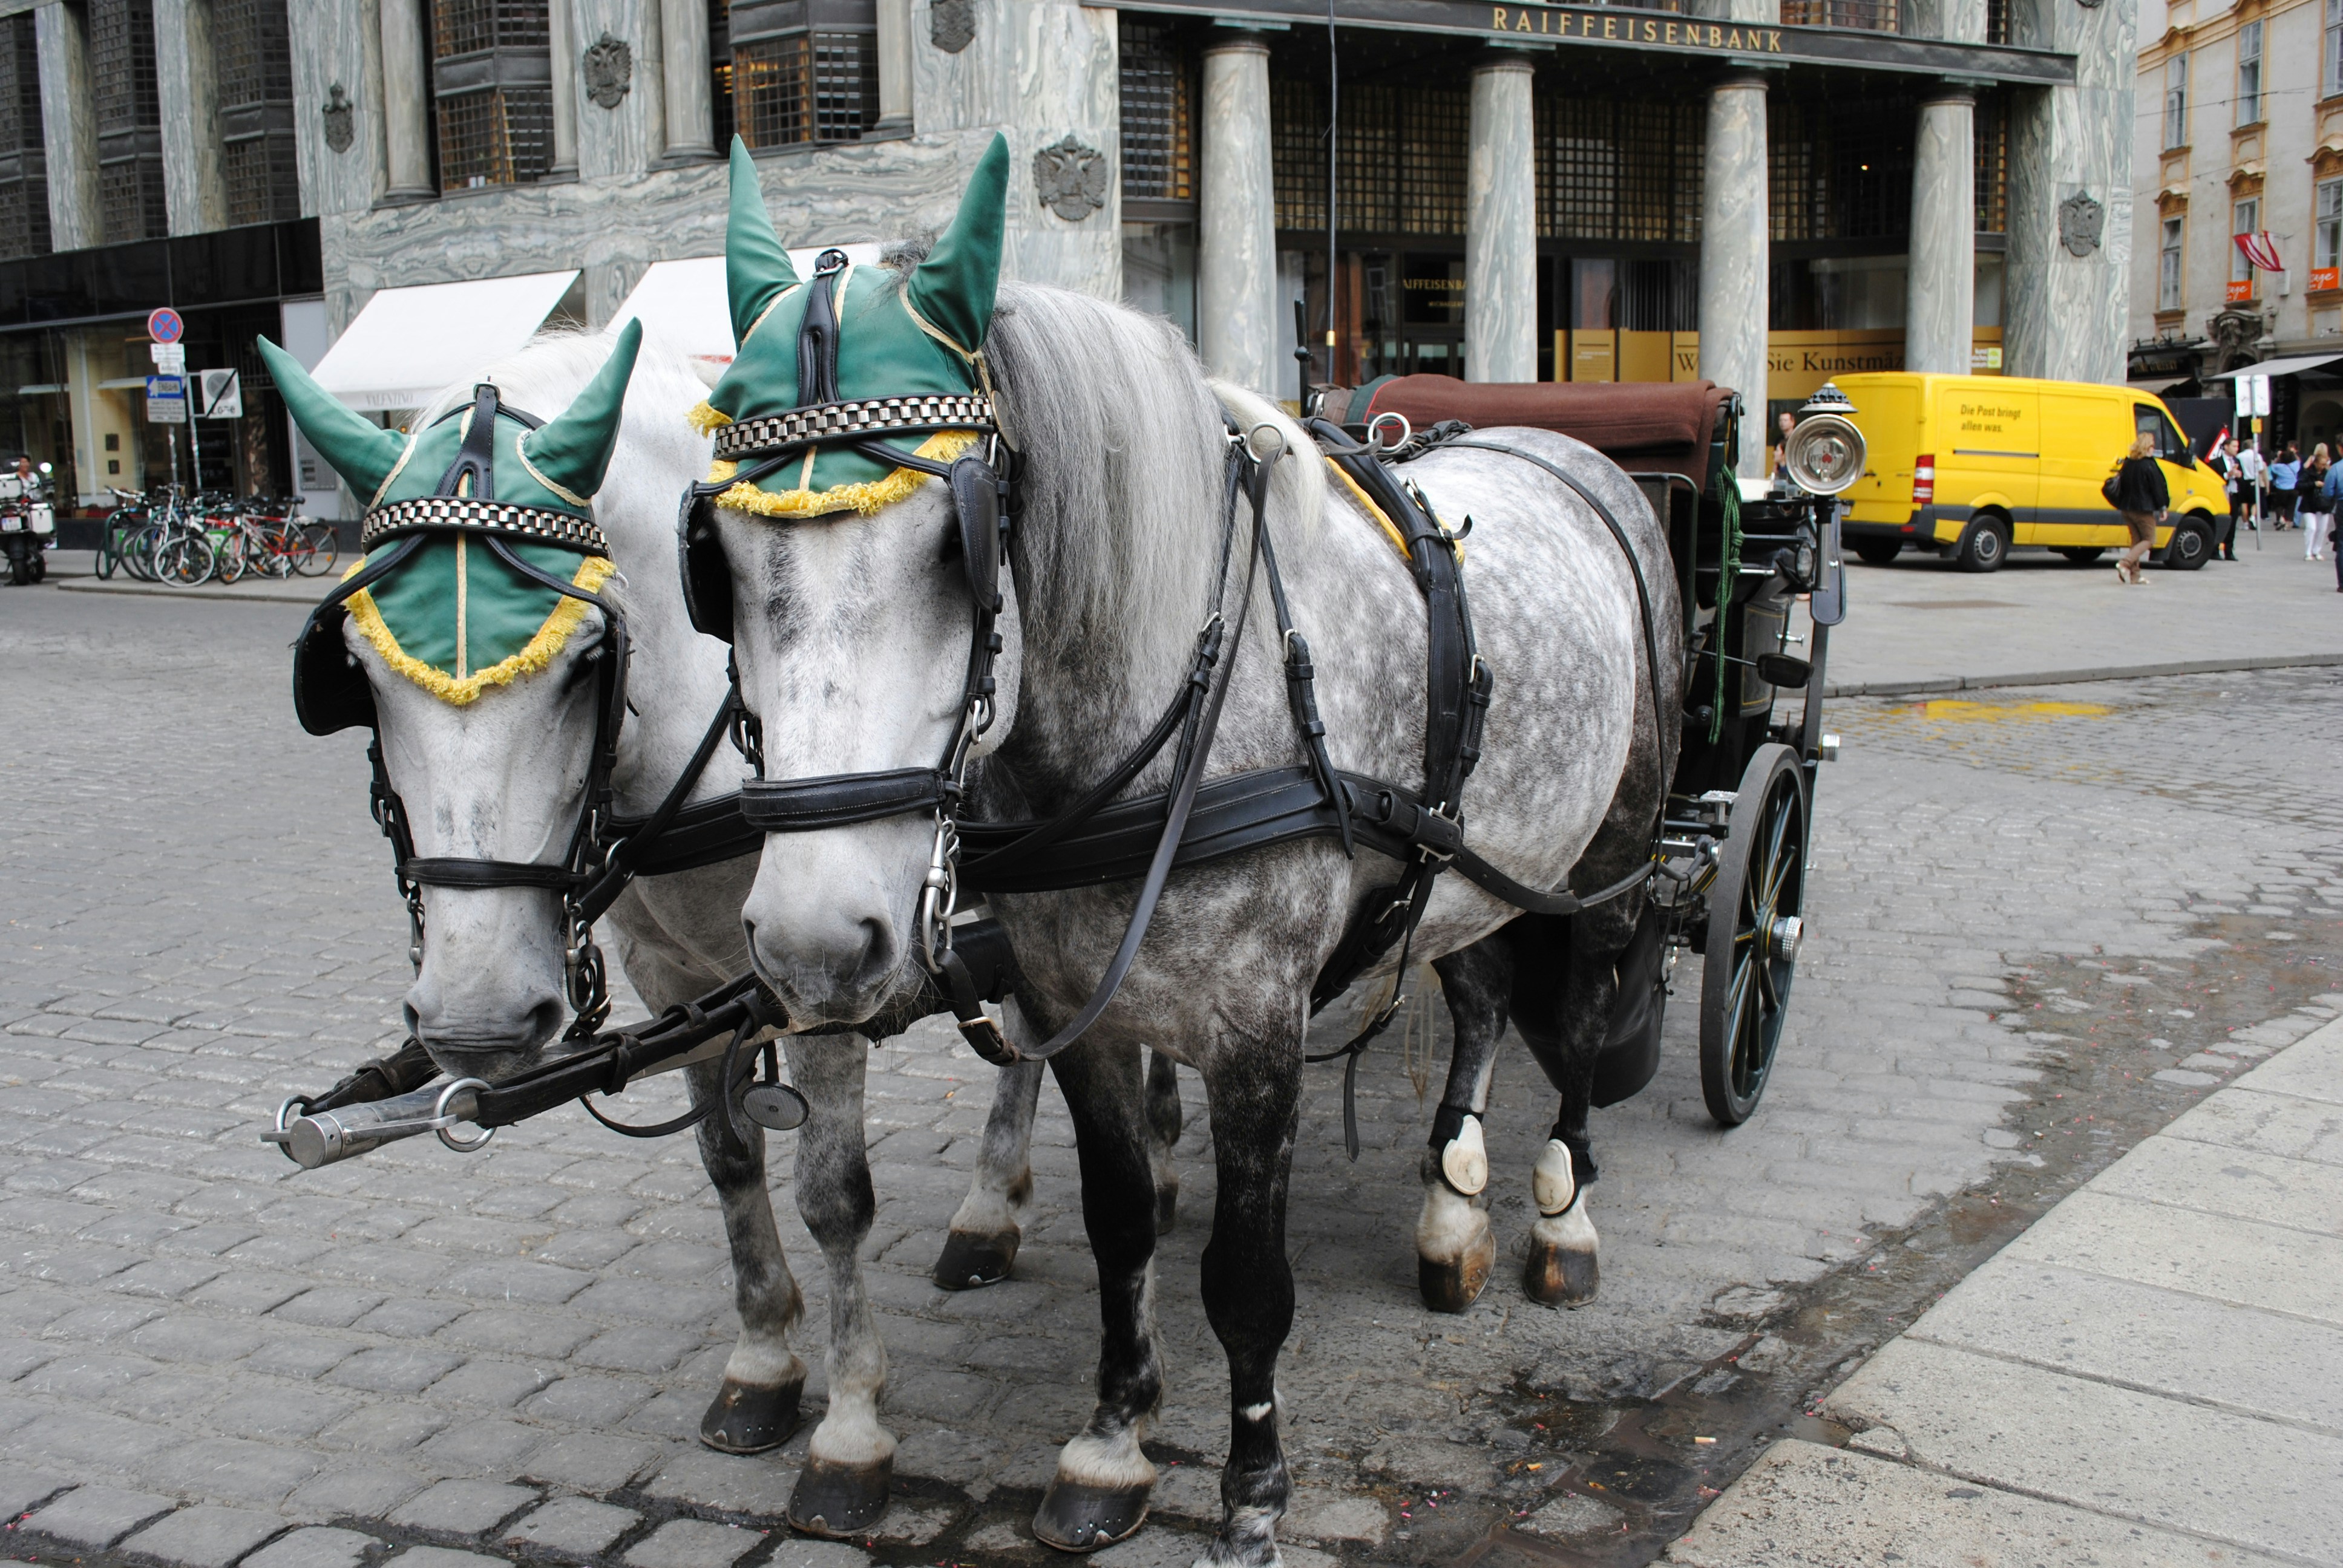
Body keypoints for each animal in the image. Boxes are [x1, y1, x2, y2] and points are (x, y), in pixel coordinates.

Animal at [697, 135, 1680, 1564]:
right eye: (713, 556)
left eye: (956, 543)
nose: (816, 941)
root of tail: (1565, 450)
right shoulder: (1083, 1013)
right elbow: (1119, 1230)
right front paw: (1111, 1445)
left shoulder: (1258, 1030)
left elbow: (1245, 1278)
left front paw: (1253, 1487)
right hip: (1463, 865)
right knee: (1486, 994)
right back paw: (1453, 1207)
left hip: (1610, 848)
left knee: (1591, 1007)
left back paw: (1562, 1215)